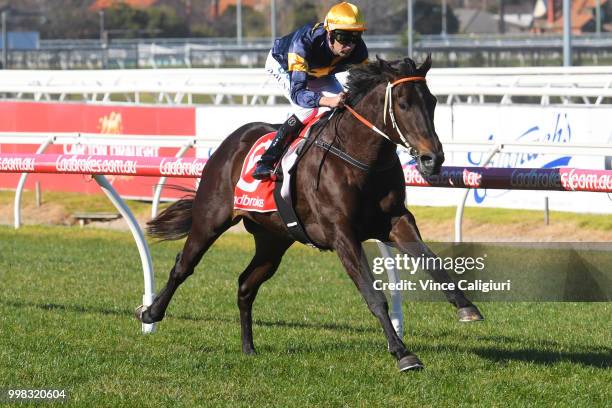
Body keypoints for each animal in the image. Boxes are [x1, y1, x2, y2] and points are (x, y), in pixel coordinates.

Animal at [137, 55, 482, 372]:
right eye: (403, 103)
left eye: (432, 102)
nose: (432, 158)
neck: (360, 158)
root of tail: (232, 141)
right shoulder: (342, 234)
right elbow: (373, 294)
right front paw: (403, 353)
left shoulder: (397, 222)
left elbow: (432, 261)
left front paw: (466, 307)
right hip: (211, 218)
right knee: (183, 266)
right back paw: (150, 313)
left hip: (273, 240)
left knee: (246, 285)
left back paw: (248, 347)